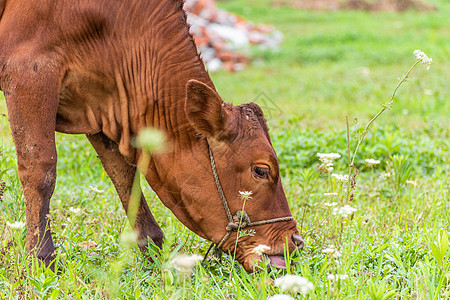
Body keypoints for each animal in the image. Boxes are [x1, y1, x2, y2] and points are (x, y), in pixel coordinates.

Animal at [0, 0, 304, 272]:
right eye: (261, 170)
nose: (295, 241)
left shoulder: (98, 106)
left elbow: (126, 177)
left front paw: (154, 249)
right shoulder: (28, 71)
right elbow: (40, 171)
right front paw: (41, 260)